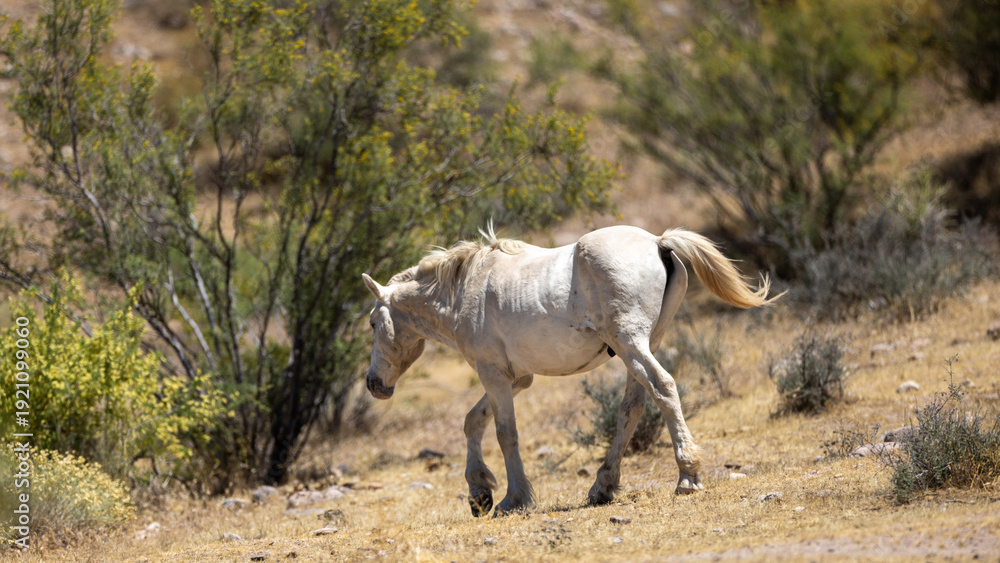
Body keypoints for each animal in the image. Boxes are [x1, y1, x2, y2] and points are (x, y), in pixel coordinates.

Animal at [362, 225, 779, 517]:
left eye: (372, 323)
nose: (373, 384)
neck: (465, 291)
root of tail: (659, 242)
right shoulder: (517, 378)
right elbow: (473, 422)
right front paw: (479, 493)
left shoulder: (494, 374)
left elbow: (505, 433)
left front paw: (513, 498)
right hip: (642, 346)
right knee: (632, 408)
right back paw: (603, 487)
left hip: (631, 344)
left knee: (663, 388)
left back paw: (688, 477)